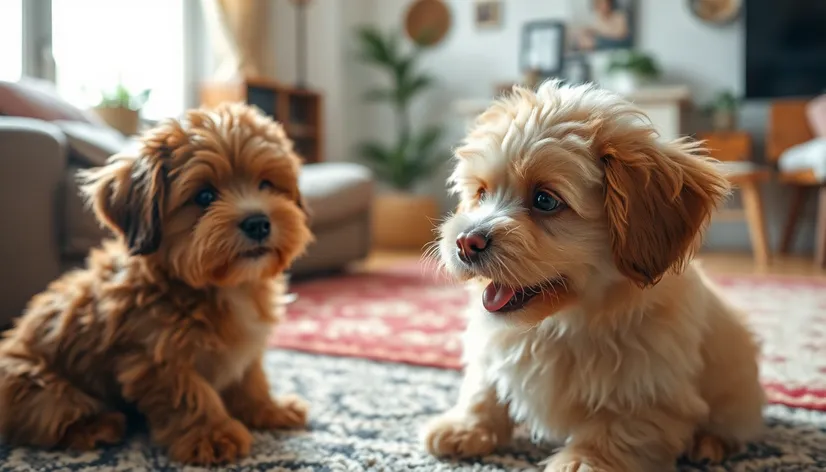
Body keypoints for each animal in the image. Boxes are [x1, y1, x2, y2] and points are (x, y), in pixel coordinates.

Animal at [0, 103, 312, 464]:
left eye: (266, 184)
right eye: (205, 196)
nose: (259, 222)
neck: (224, 286)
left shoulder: (246, 350)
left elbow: (251, 379)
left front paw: (268, 410)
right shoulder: (155, 358)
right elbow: (190, 395)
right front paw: (212, 435)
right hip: (38, 385)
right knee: (52, 419)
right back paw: (98, 426)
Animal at [422, 83, 764, 470]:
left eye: (545, 200)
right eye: (481, 194)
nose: (466, 242)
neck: (561, 323)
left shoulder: (650, 392)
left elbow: (616, 432)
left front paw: (584, 460)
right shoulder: (490, 346)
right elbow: (483, 386)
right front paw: (465, 426)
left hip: (738, 392)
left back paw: (711, 443)